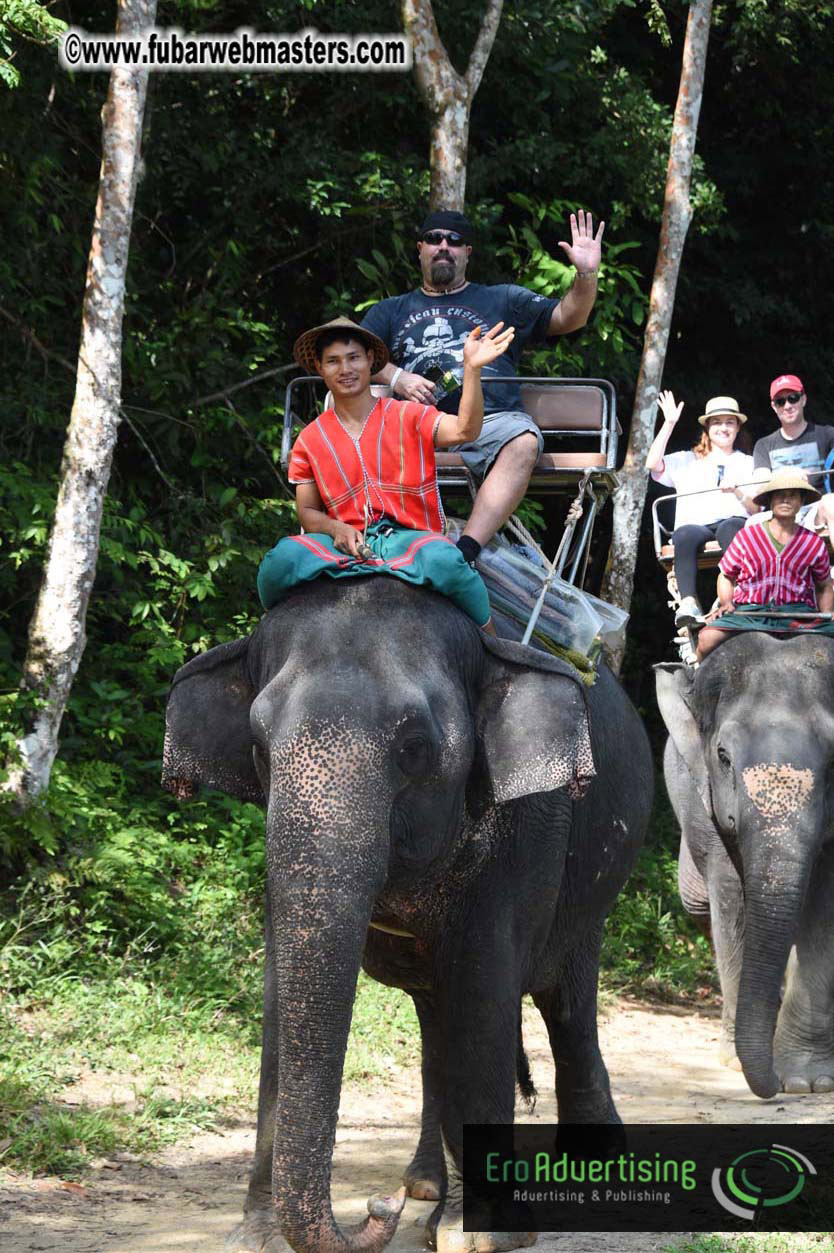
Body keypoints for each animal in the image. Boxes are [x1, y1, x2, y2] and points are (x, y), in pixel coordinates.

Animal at [162, 576, 652, 1253]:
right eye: (258, 748)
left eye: (416, 748)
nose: (377, 1208)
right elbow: (280, 995)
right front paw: (256, 1236)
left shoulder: (527, 831)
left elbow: (483, 992)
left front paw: (482, 1237)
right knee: (434, 1023)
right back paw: (423, 1187)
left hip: (596, 887)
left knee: (566, 1002)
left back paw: (589, 1172)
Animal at [656, 632, 834, 1100]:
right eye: (723, 756)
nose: (770, 1086)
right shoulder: (703, 801)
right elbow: (731, 896)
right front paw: (738, 1063)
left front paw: (807, 1082)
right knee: (698, 904)